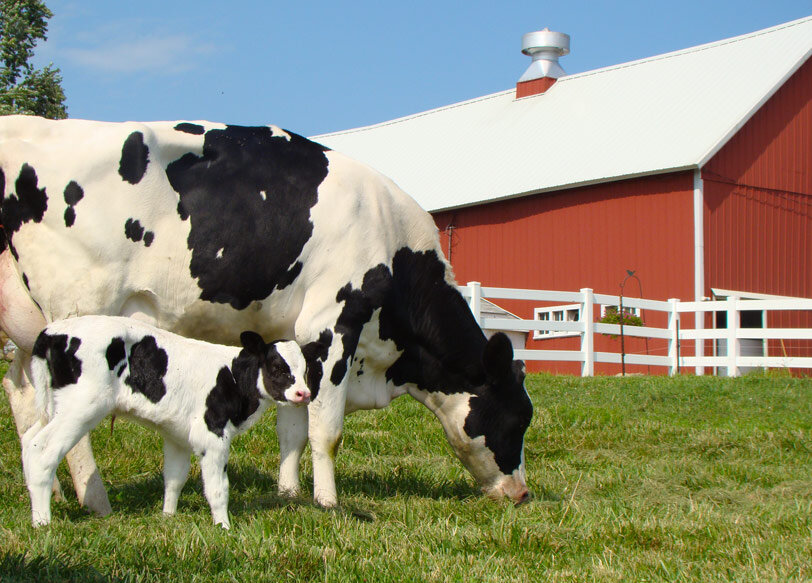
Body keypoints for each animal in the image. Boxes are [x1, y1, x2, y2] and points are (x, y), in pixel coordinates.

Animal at [22, 314, 310, 528]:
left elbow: (174, 477)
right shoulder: (212, 434)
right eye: (277, 367)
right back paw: (42, 523)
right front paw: (223, 527)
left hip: (53, 406)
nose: (303, 394)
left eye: (305, 370)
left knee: (28, 439)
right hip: (82, 406)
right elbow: (218, 488)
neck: (233, 376)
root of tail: (51, 331)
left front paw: (168, 517)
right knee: (42, 449)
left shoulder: (177, 435)